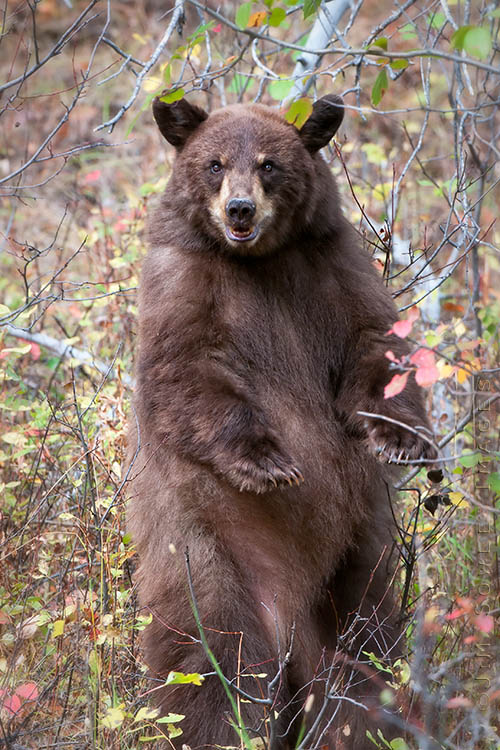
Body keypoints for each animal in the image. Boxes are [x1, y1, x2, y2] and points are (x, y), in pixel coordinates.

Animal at [126, 93, 436, 749]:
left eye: (269, 164)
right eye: (215, 164)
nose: (239, 209)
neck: (258, 261)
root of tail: (288, 627)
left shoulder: (331, 269)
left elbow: (376, 344)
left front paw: (399, 439)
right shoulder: (182, 285)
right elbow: (185, 376)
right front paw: (269, 463)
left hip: (356, 563)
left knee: (363, 657)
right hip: (210, 564)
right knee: (213, 670)